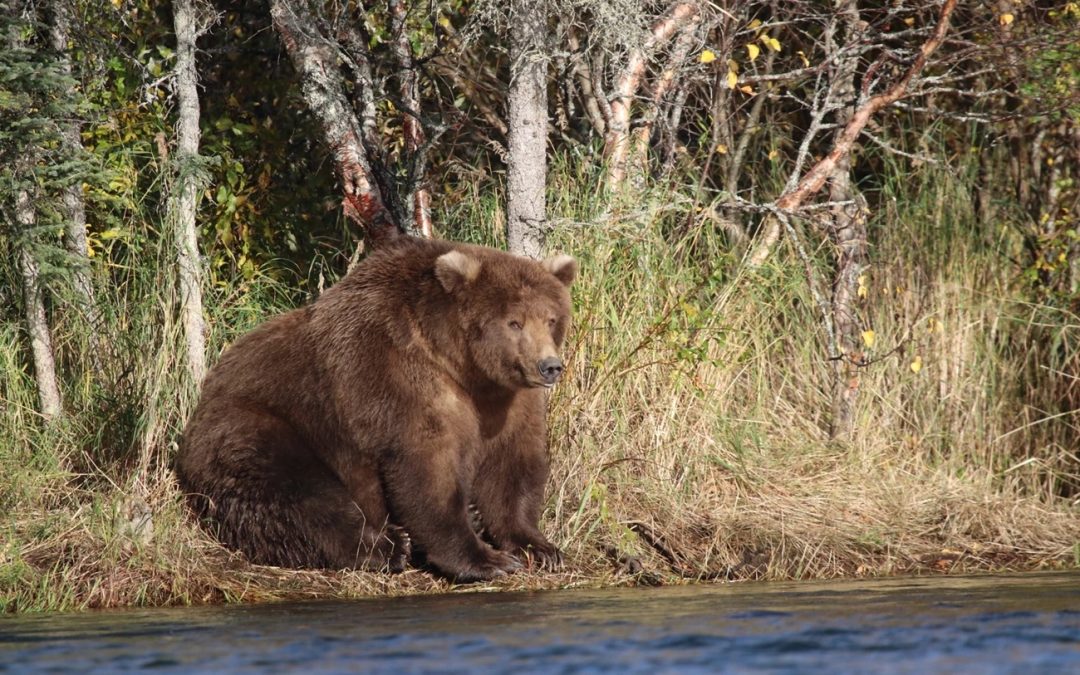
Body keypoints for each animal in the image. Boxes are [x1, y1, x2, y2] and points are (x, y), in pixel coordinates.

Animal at [174, 236, 576, 582]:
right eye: (514, 322)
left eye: (551, 319)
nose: (549, 366)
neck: (462, 366)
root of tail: (198, 407)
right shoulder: (396, 376)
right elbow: (426, 467)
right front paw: (486, 559)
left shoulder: (506, 400)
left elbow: (512, 465)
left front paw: (539, 548)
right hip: (258, 428)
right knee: (299, 495)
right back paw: (389, 546)